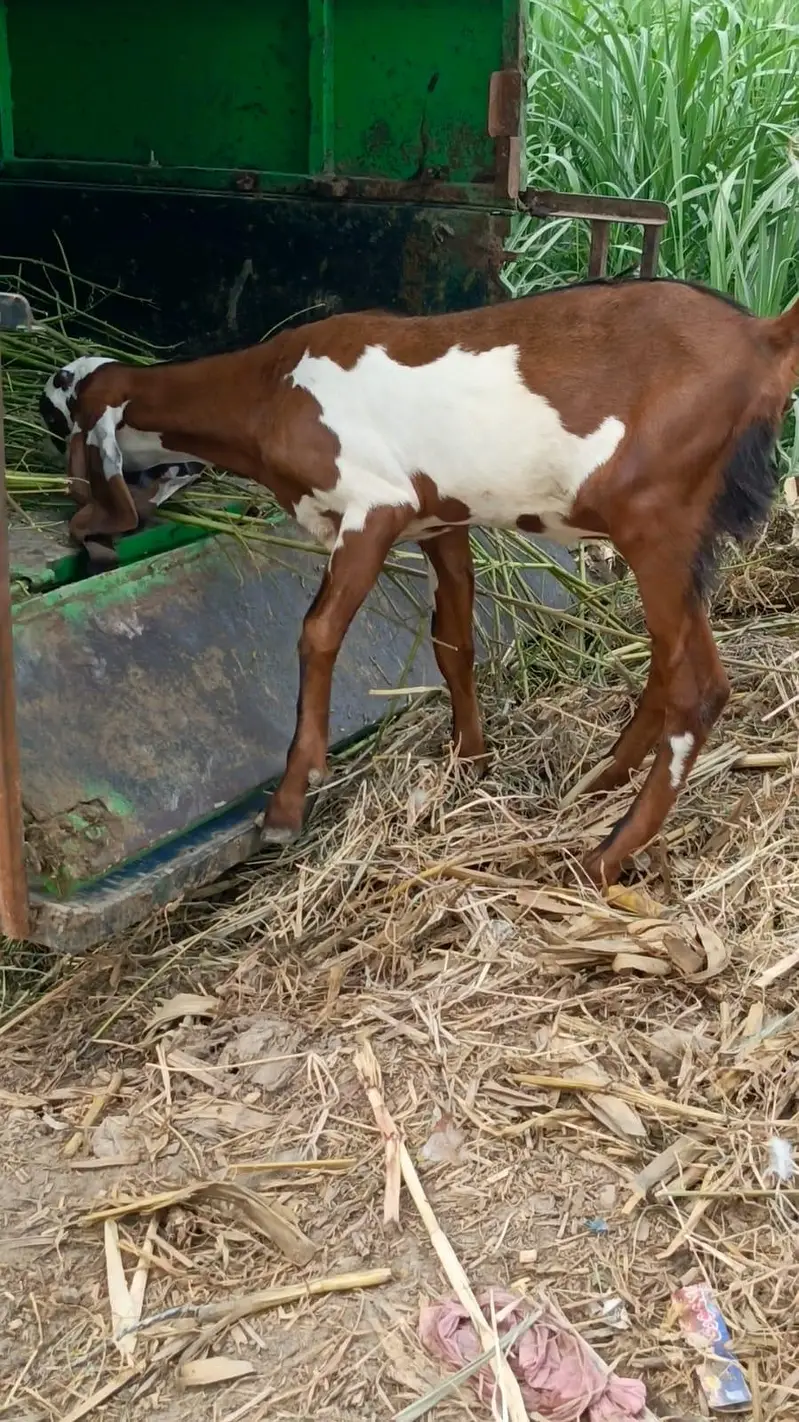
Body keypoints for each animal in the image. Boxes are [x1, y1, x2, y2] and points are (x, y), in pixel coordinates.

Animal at [48, 276, 799, 886]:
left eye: (64, 392)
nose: (38, 386)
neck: (270, 388)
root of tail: (763, 338)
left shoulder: (374, 507)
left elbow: (317, 633)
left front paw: (289, 801)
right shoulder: (443, 521)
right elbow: (453, 639)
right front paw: (470, 761)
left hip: (653, 514)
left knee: (699, 687)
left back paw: (604, 857)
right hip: (680, 535)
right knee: (670, 664)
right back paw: (602, 779)